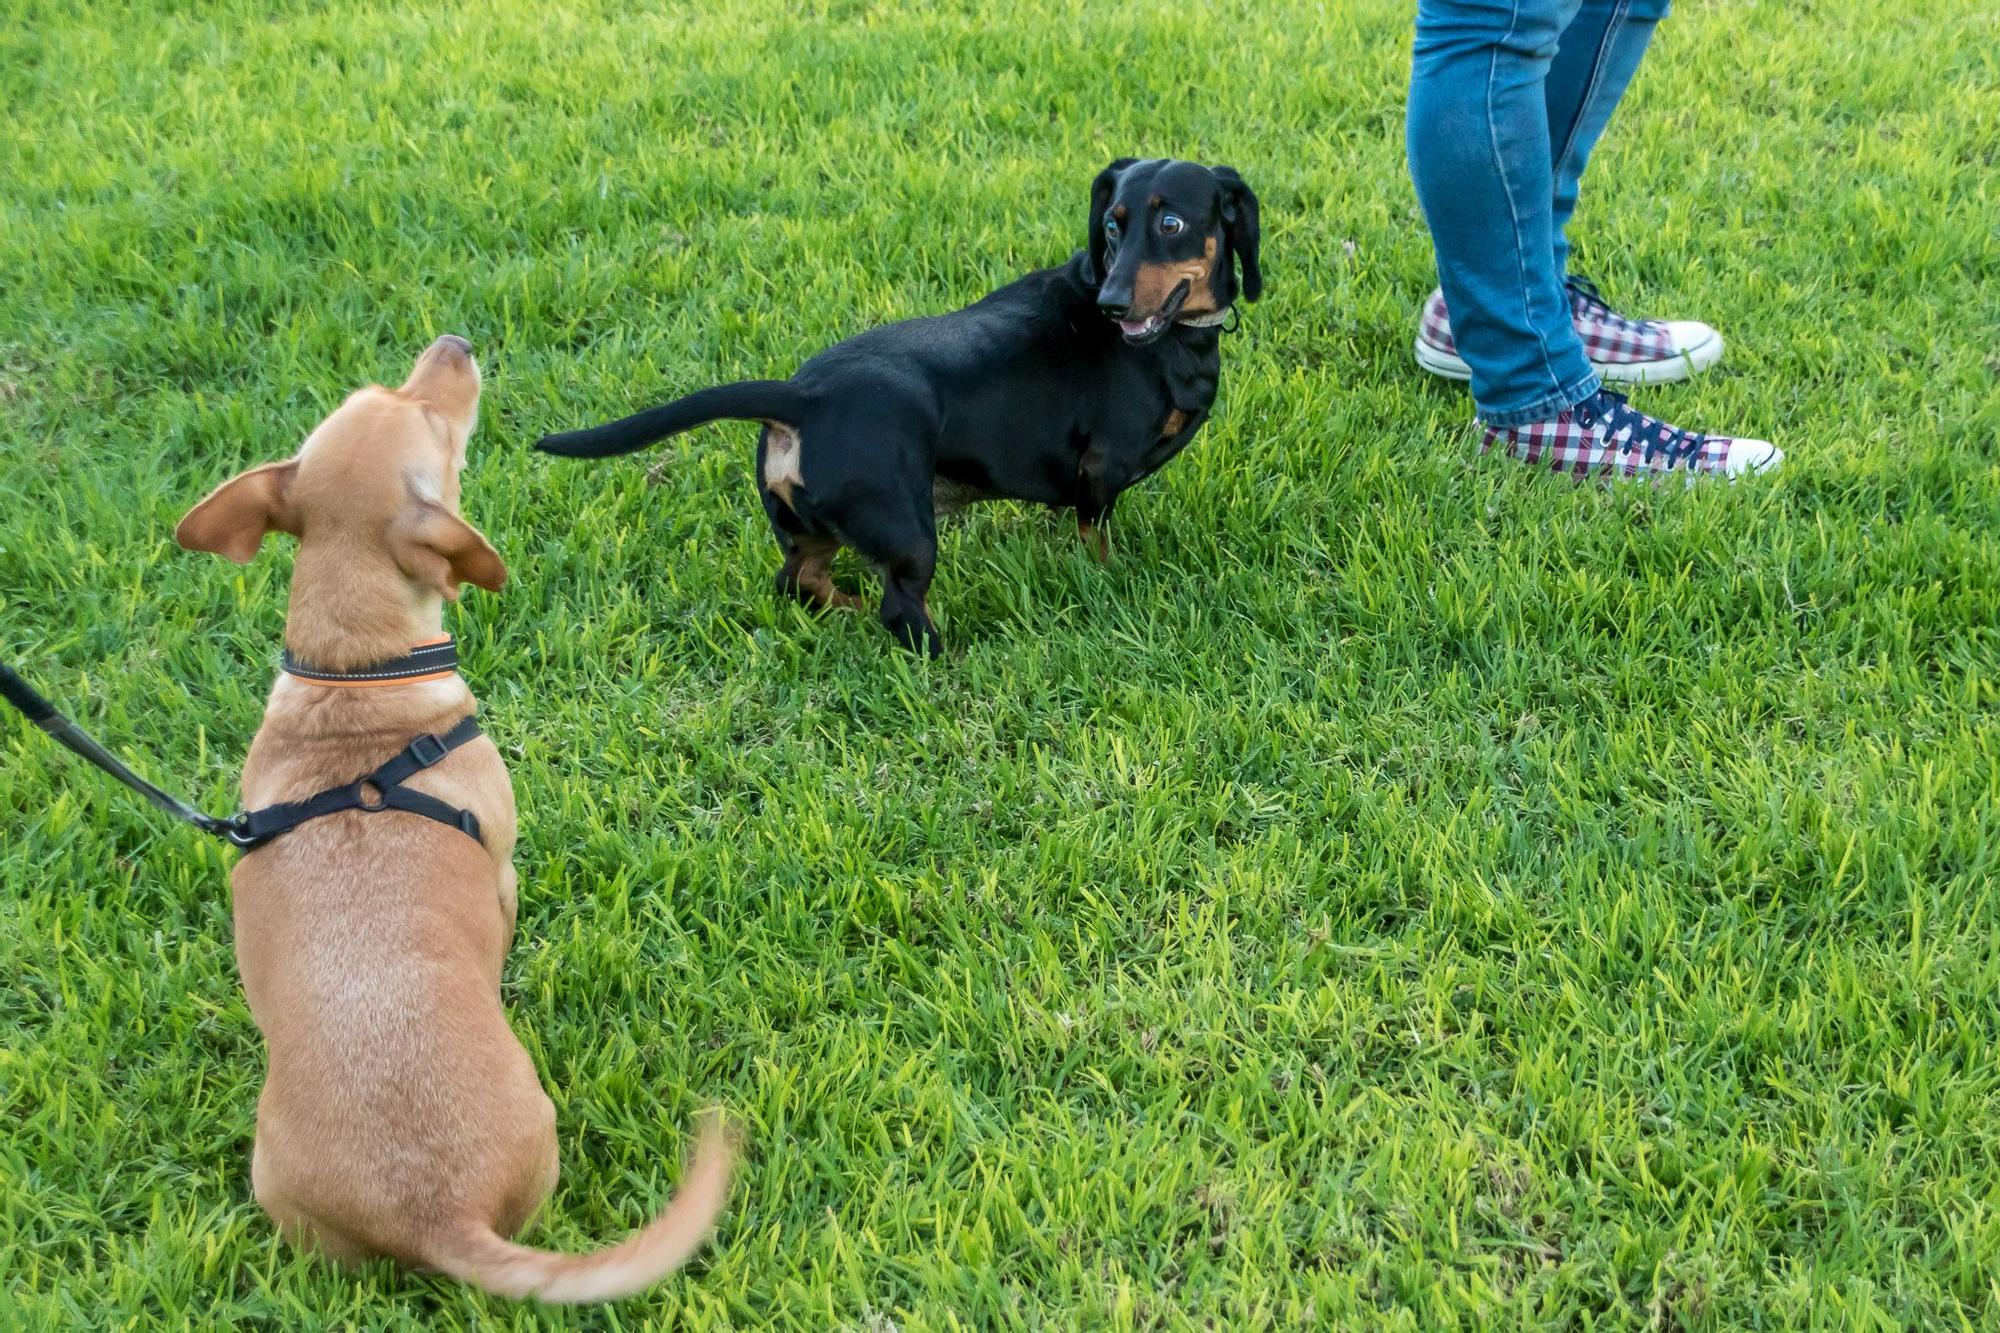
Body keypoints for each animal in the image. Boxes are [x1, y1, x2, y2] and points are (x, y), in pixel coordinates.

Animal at [174, 334, 736, 1296]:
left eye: (379, 388)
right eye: (436, 426)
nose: (456, 344)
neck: (353, 673)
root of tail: (437, 1213)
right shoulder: (504, 867)